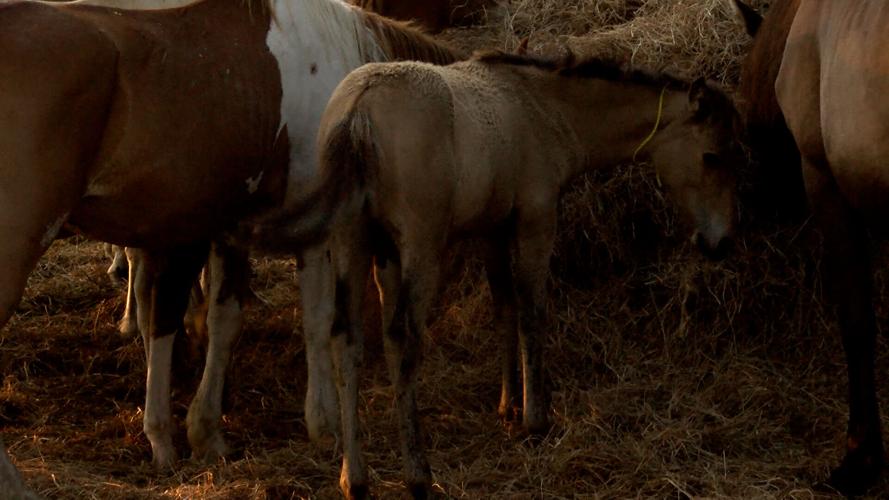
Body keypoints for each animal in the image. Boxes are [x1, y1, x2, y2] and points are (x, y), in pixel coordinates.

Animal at [0, 0, 460, 494]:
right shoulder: (316, 229)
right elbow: (318, 320)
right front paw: (323, 422)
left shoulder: (228, 226)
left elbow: (223, 320)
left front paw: (206, 431)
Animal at [254, 50, 742, 498]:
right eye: (712, 156)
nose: (721, 242)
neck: (540, 107)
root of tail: (359, 107)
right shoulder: (535, 220)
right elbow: (530, 310)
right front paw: (535, 417)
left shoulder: (490, 228)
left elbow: (502, 305)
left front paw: (508, 405)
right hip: (420, 245)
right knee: (403, 337)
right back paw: (417, 473)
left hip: (353, 244)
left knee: (348, 339)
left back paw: (353, 477)